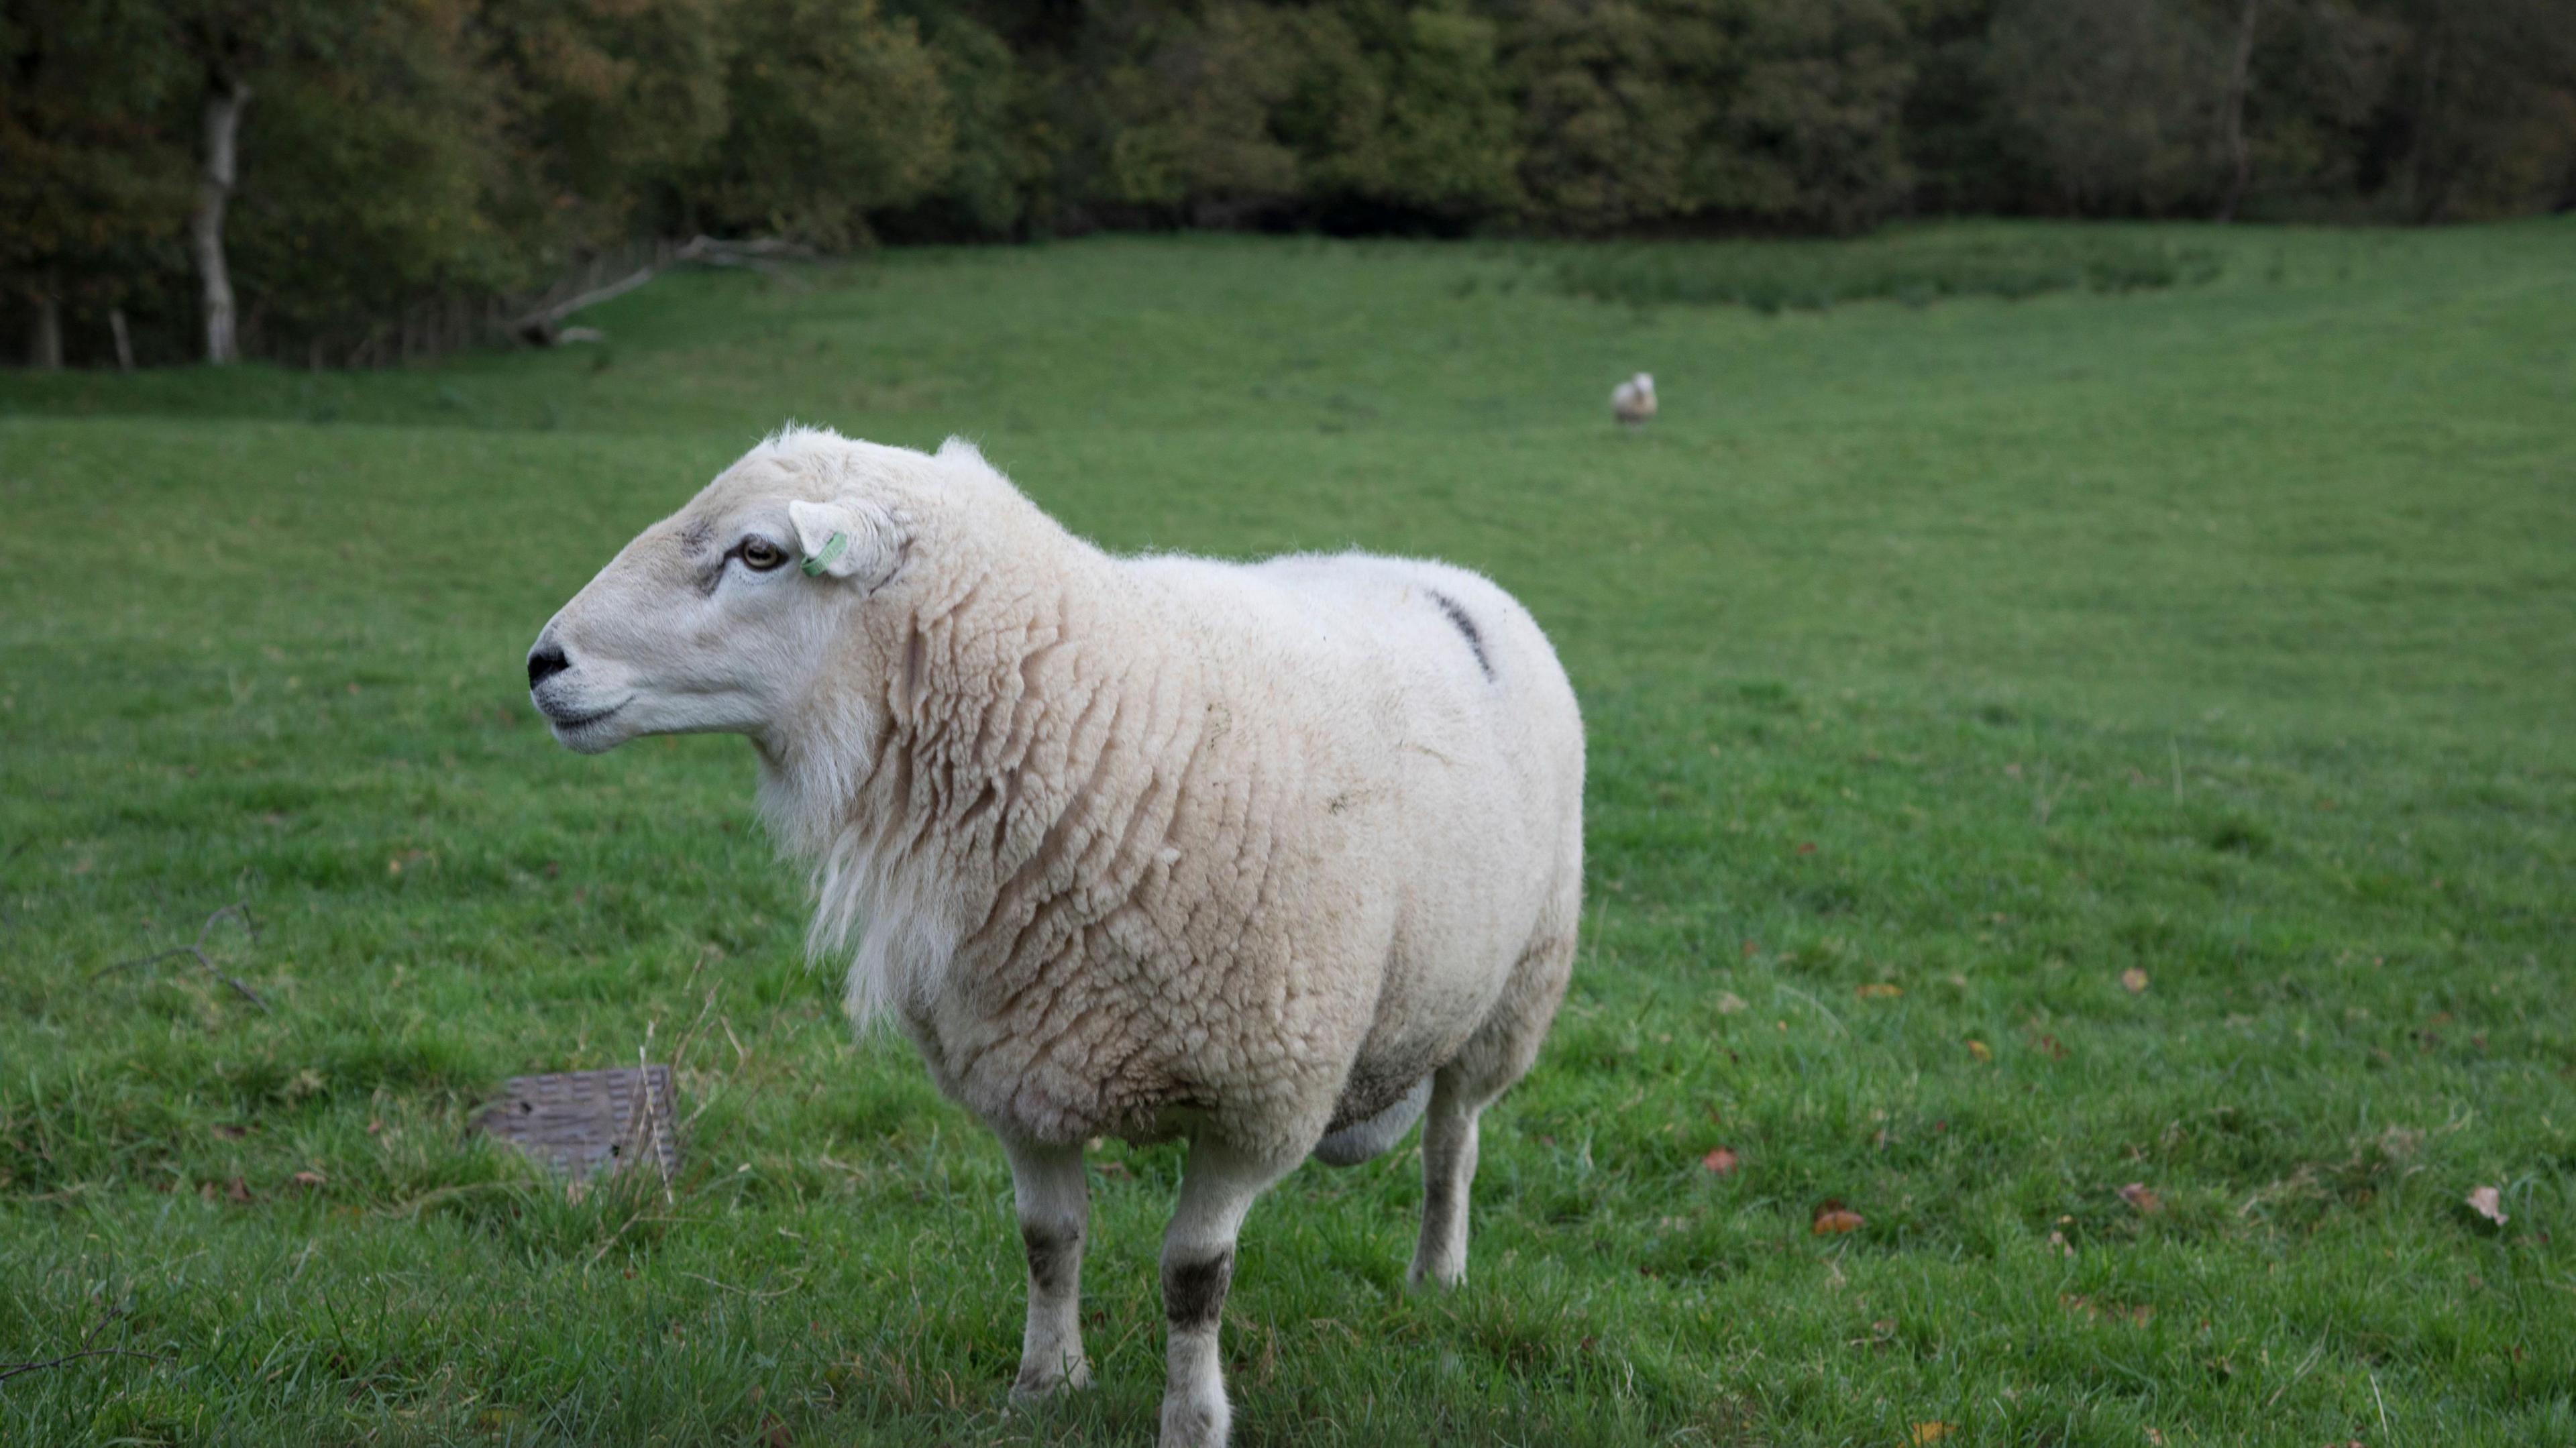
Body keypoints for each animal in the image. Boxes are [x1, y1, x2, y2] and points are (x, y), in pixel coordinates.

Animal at [525, 430, 1576, 1443]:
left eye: (759, 552)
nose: (543, 663)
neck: (1093, 720)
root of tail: (1432, 568)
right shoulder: (1017, 1070)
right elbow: (1048, 1240)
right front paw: (1046, 1385)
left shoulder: (1259, 1097)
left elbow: (1194, 1274)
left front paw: (1191, 1420)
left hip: (1516, 990)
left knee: (1452, 1144)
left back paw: (1437, 1273)